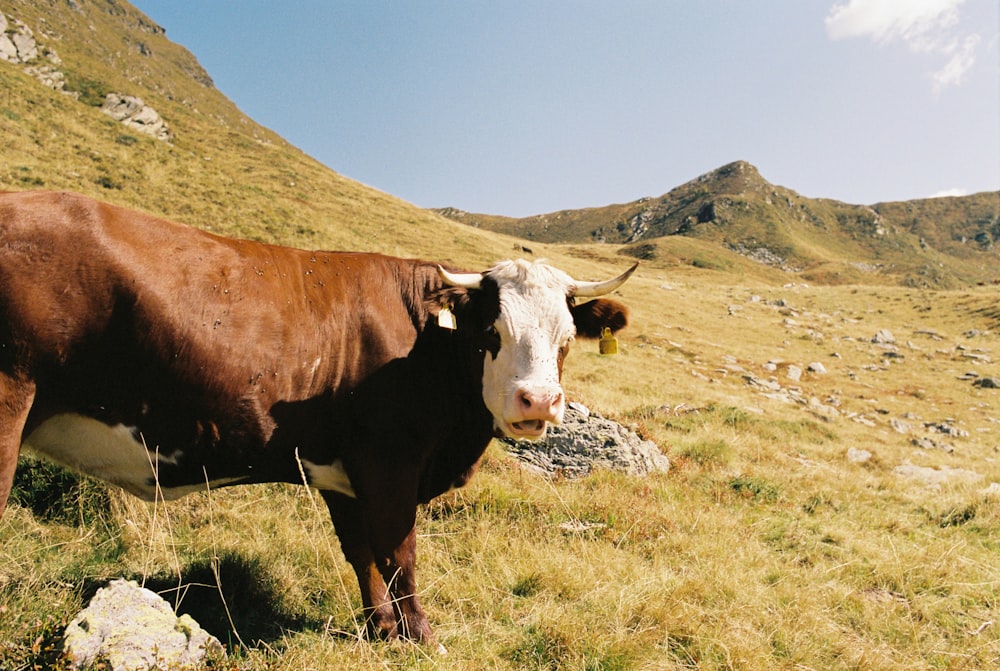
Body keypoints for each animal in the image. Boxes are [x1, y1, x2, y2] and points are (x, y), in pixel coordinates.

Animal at [0, 190, 636, 644]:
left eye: (568, 336)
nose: (538, 402)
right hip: (11, 403)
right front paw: (421, 636)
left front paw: (382, 629)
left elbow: (361, 553)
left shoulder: (342, 471)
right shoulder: (389, 461)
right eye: (490, 331)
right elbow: (399, 553)